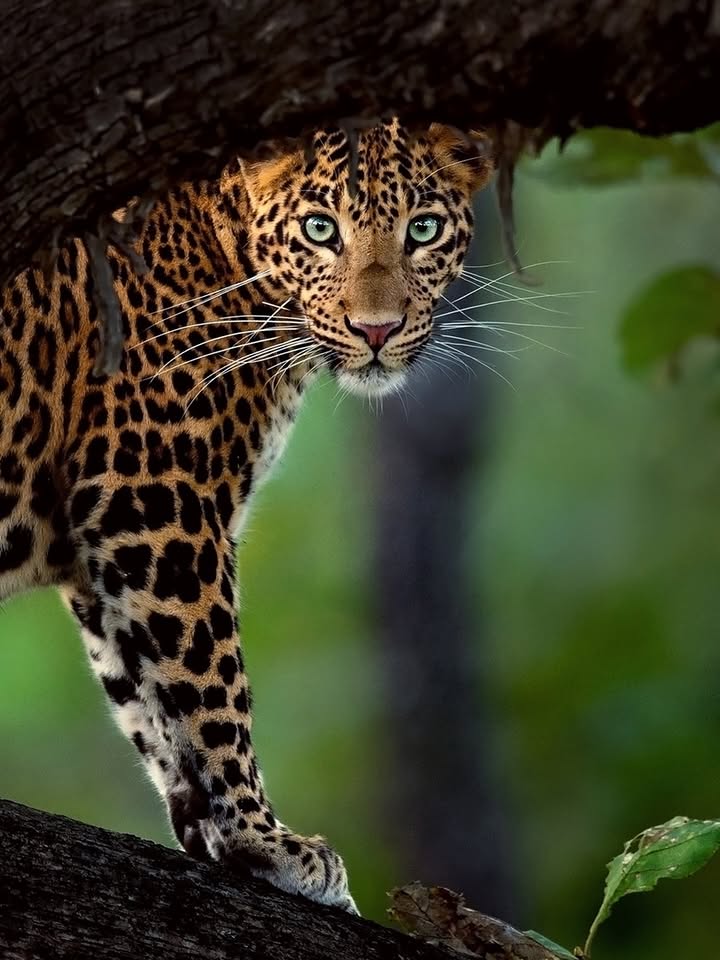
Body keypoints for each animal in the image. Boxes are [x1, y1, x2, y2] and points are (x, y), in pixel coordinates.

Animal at [0, 118, 492, 912]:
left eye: (424, 229)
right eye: (321, 230)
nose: (377, 331)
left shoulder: (100, 539)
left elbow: (143, 693)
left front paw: (212, 830)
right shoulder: (154, 497)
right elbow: (209, 678)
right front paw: (268, 842)